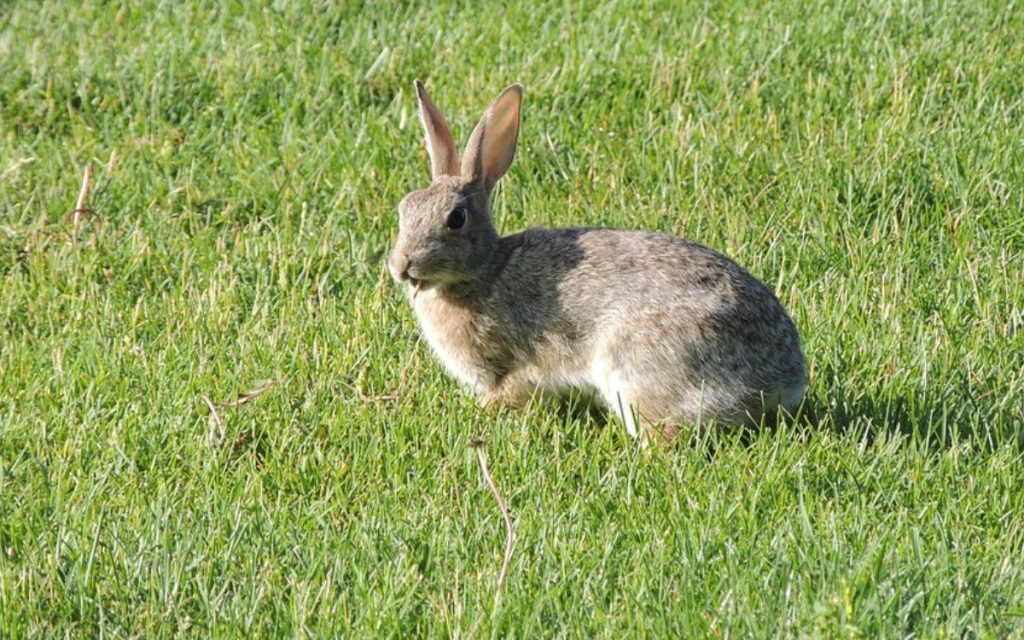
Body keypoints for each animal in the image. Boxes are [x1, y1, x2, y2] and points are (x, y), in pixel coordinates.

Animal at [385, 80, 806, 444]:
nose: (401, 265)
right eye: (404, 208)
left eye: (456, 219)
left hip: (635, 366)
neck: (485, 268)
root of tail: (785, 381)